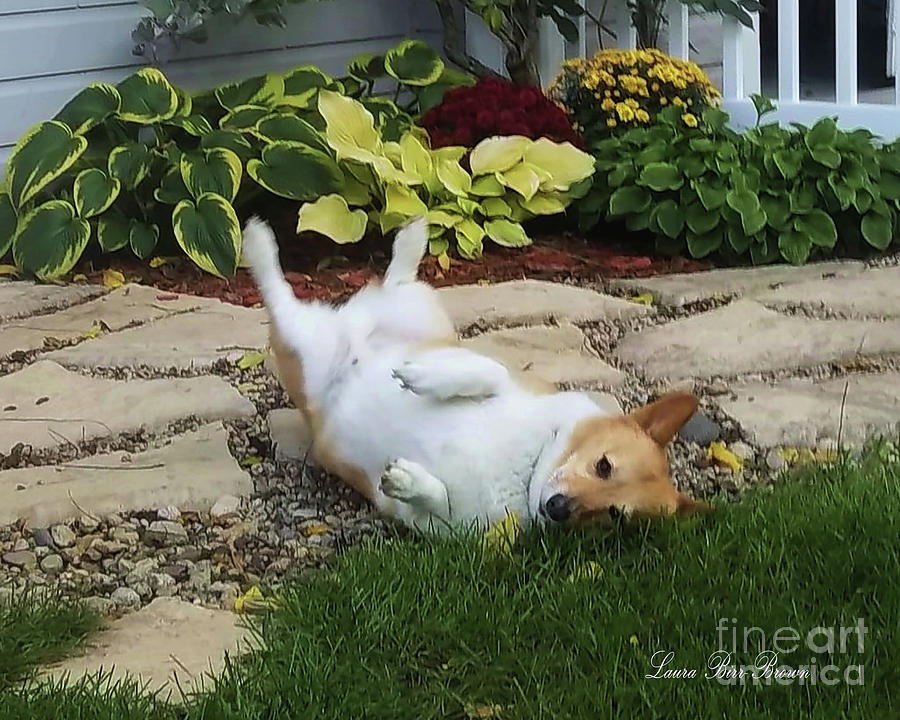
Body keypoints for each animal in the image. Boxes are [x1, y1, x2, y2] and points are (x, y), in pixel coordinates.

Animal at [241, 217, 712, 532]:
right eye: (603, 465)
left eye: (614, 514)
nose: (558, 509)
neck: (527, 468)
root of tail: (351, 330)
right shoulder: (509, 382)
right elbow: (487, 371)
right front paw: (422, 377)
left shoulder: (446, 528)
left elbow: (434, 499)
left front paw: (408, 479)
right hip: (353, 330)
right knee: (293, 287)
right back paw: (261, 239)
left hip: (310, 342)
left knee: (295, 295)